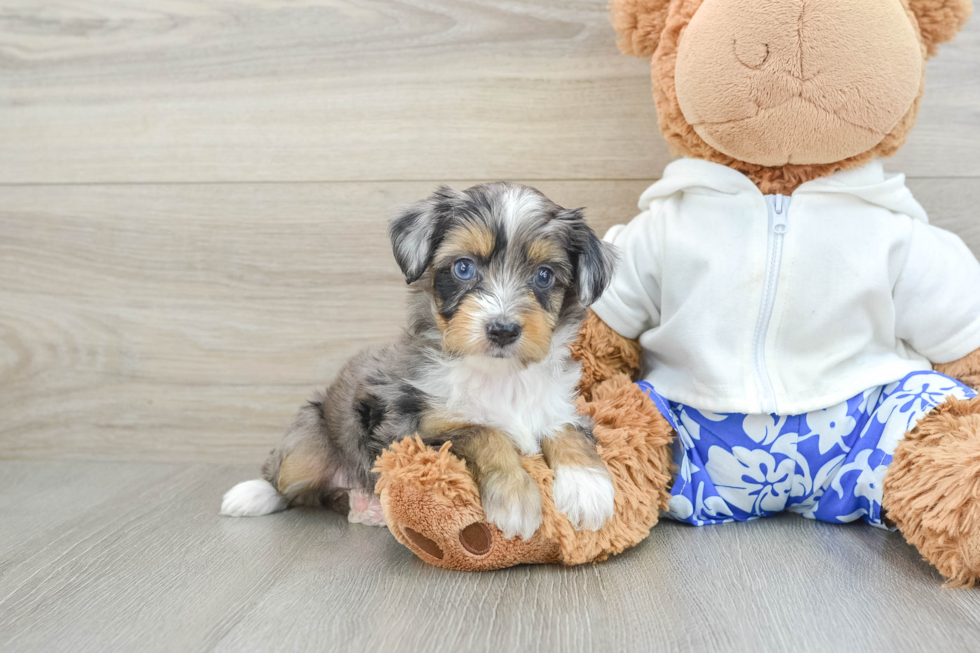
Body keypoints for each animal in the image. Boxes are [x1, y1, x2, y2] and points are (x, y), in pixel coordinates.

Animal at [225, 181, 616, 536]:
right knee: (287, 482)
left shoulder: (559, 406)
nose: (502, 330)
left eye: (544, 275)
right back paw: (250, 495)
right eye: (463, 268)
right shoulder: (412, 430)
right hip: (309, 440)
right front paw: (515, 498)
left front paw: (588, 487)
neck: (500, 375)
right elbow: (484, 431)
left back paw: (366, 508)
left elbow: (569, 431)